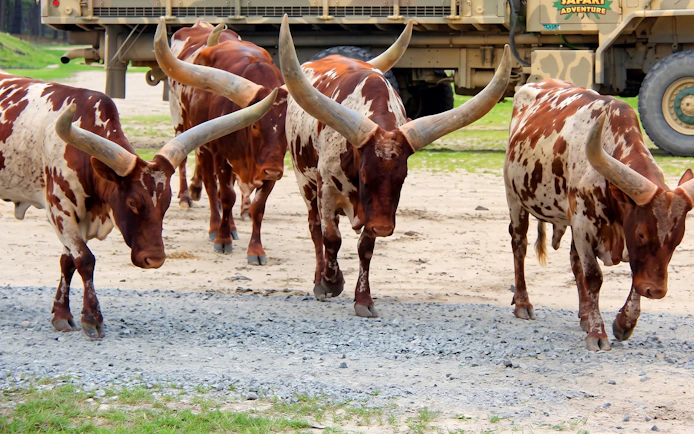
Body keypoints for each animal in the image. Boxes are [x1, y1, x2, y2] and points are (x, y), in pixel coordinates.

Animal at [0, 72, 277, 338]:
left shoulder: (83, 217)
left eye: (167, 202)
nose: (154, 259)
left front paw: (61, 314)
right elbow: (85, 260)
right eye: (132, 202)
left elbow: (68, 262)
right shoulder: (60, 210)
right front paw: (92, 319)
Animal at [154, 18, 288, 265]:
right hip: (186, 127)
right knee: (204, 180)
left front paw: (256, 250)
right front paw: (222, 239)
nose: (273, 171)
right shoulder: (221, 157)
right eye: (255, 125)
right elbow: (225, 196)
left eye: (287, 130)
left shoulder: (269, 166)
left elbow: (258, 206)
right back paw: (203, 214)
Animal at [279, 15, 512, 317]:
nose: (383, 228)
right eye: (365, 176)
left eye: (402, 179)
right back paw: (320, 281)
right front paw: (331, 282)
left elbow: (365, 247)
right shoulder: (327, 187)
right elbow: (331, 237)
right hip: (303, 180)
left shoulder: (377, 208)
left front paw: (363, 300)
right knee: (314, 226)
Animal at [504, 79, 694, 351]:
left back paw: (584, 314)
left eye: (678, 239)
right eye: (641, 234)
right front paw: (597, 332)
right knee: (519, 245)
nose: (656, 291)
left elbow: (633, 273)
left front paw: (624, 323)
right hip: (515, 199)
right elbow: (593, 277)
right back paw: (522, 303)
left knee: (574, 262)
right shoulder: (584, 227)